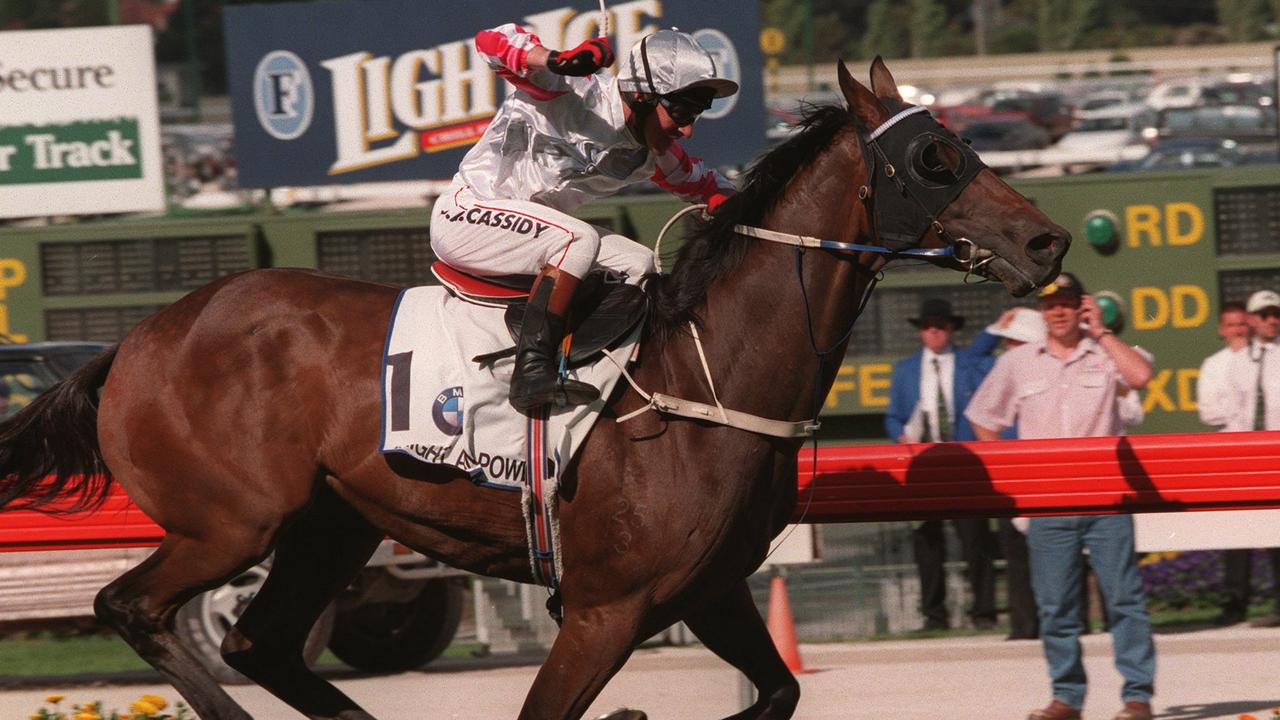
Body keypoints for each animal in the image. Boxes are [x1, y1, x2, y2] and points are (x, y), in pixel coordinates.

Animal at [0, 58, 1064, 712]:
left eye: (965, 147)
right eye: (936, 159)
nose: (1048, 240)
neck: (702, 378)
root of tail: (134, 341)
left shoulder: (710, 591)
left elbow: (782, 690)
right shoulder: (601, 609)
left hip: (329, 522)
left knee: (261, 642)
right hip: (232, 523)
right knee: (133, 609)